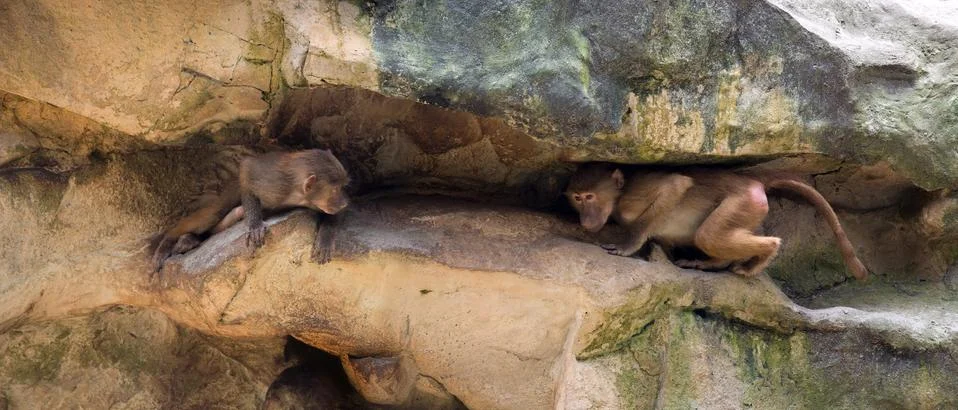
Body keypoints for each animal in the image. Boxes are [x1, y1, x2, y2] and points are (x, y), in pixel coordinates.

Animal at [151, 149, 350, 273]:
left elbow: (334, 215)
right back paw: (170, 240)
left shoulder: (315, 202)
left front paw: (325, 239)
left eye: (342, 187)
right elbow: (247, 170)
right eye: (334, 190)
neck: (296, 193)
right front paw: (254, 224)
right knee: (212, 214)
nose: (343, 202)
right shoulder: (274, 184)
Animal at [565, 163, 868, 280]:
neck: (617, 200)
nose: (586, 221)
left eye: (590, 196)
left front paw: (628, 246)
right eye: (577, 198)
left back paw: (762, 255)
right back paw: (714, 263)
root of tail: (753, 180)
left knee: (707, 236)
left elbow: (676, 186)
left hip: (743, 201)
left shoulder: (635, 194)